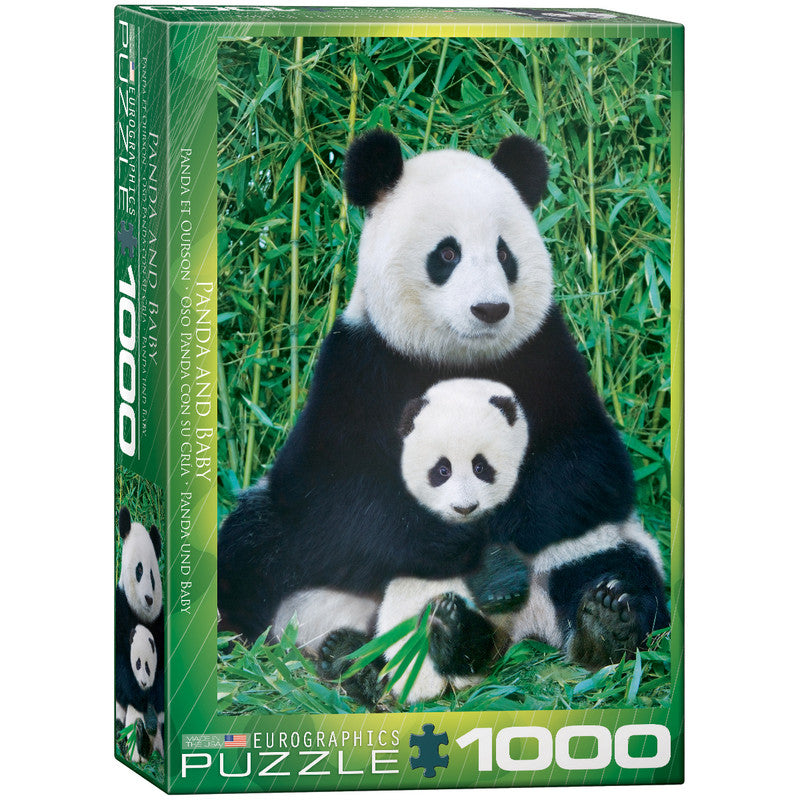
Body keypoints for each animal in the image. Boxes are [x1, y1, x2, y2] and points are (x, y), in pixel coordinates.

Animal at [217, 130, 668, 680]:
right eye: (448, 254)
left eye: (504, 253)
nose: (490, 309)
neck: (455, 356)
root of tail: (517, 630)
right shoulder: (359, 365)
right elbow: (334, 493)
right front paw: (464, 544)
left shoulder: (545, 355)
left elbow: (587, 468)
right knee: (252, 550)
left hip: (595, 545)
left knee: (617, 564)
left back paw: (599, 622)